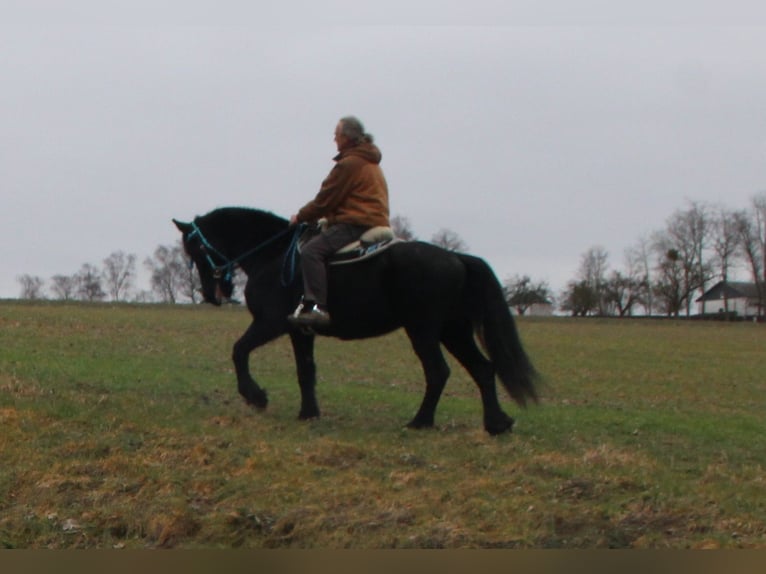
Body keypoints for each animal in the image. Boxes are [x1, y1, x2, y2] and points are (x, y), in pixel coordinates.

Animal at [172, 208, 540, 436]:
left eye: (195, 250)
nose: (211, 294)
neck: (273, 256)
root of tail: (456, 258)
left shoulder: (271, 323)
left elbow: (239, 351)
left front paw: (256, 396)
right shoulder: (300, 330)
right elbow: (305, 371)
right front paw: (308, 413)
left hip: (424, 330)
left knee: (438, 372)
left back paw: (420, 422)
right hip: (453, 331)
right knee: (484, 369)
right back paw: (496, 423)